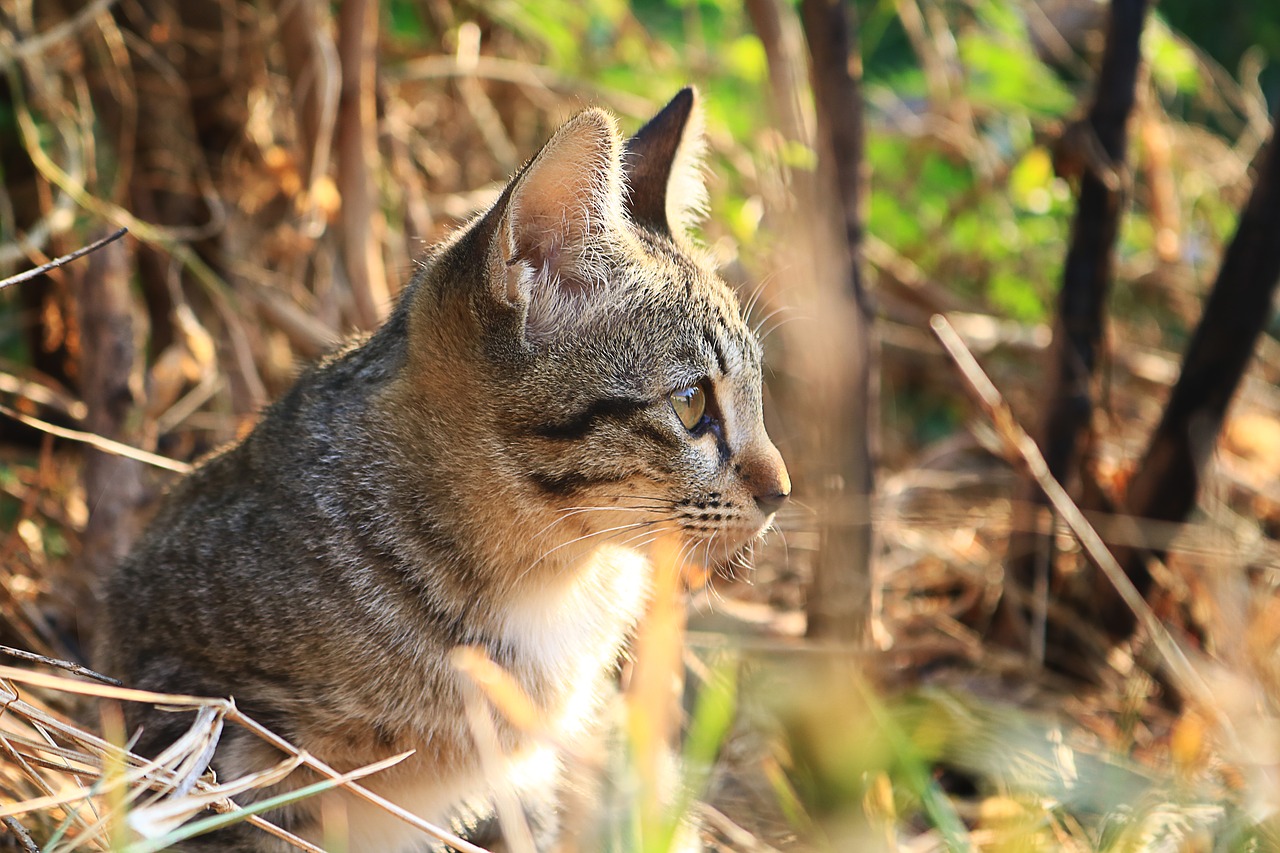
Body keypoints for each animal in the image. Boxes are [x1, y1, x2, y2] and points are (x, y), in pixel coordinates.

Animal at [97, 89, 788, 845]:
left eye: (758, 393)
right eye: (692, 405)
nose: (782, 489)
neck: (542, 581)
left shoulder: (524, 779)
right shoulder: (197, 706)